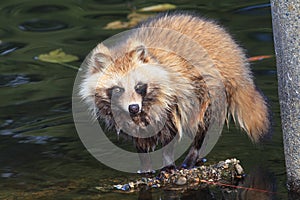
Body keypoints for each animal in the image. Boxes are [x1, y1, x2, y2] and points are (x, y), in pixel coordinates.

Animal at [79, 12, 270, 172]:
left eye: (138, 86)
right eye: (118, 89)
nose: (133, 108)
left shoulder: (175, 98)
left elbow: (169, 133)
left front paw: (168, 162)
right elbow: (139, 140)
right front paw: (146, 166)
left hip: (210, 89)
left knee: (201, 125)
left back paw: (194, 153)